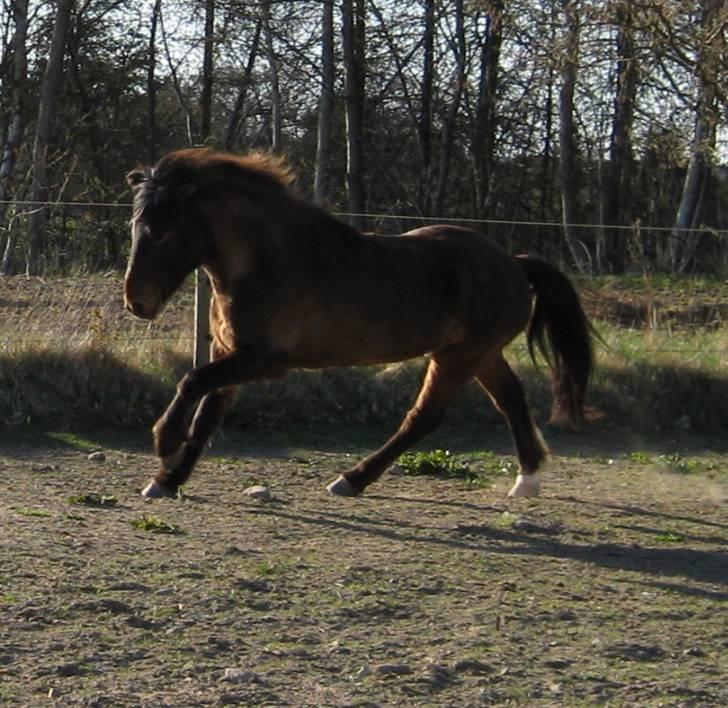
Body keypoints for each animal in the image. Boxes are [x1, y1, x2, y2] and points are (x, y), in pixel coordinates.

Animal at [123, 149, 592, 500]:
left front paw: (165, 443)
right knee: (510, 400)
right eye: (135, 226)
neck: (267, 262)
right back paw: (527, 479)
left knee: (422, 419)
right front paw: (166, 480)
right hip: (479, 355)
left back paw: (352, 479)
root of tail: (514, 263)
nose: (136, 302)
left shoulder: (265, 360)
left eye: (162, 232)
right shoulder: (229, 352)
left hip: (460, 357)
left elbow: (191, 383)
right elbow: (207, 415)